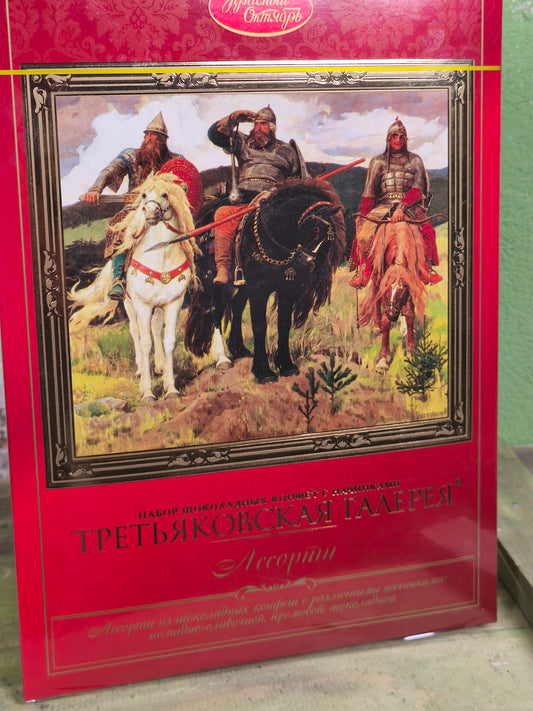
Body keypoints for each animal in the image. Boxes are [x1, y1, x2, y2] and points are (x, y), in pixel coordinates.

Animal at [69, 173, 200, 403]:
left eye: (165, 194)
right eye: (144, 195)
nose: (150, 212)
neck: (160, 253)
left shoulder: (173, 303)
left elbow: (169, 341)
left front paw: (171, 387)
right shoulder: (142, 305)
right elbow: (145, 342)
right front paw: (147, 392)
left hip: (157, 307)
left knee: (155, 328)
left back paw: (159, 366)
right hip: (130, 305)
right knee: (136, 332)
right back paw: (140, 370)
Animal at [185, 178, 345, 384]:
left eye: (329, 240)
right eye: (314, 228)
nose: (307, 264)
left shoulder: (286, 288)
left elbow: (283, 323)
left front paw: (286, 366)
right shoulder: (259, 289)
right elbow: (260, 326)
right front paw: (263, 372)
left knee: (236, 305)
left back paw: (238, 348)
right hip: (213, 282)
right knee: (216, 311)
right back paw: (222, 359)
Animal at [358, 218, 427, 370]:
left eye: (404, 286)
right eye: (387, 286)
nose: (391, 312)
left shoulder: (411, 284)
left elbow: (410, 316)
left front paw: (411, 351)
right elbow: (385, 322)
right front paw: (383, 359)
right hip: (376, 278)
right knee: (376, 300)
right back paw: (376, 327)